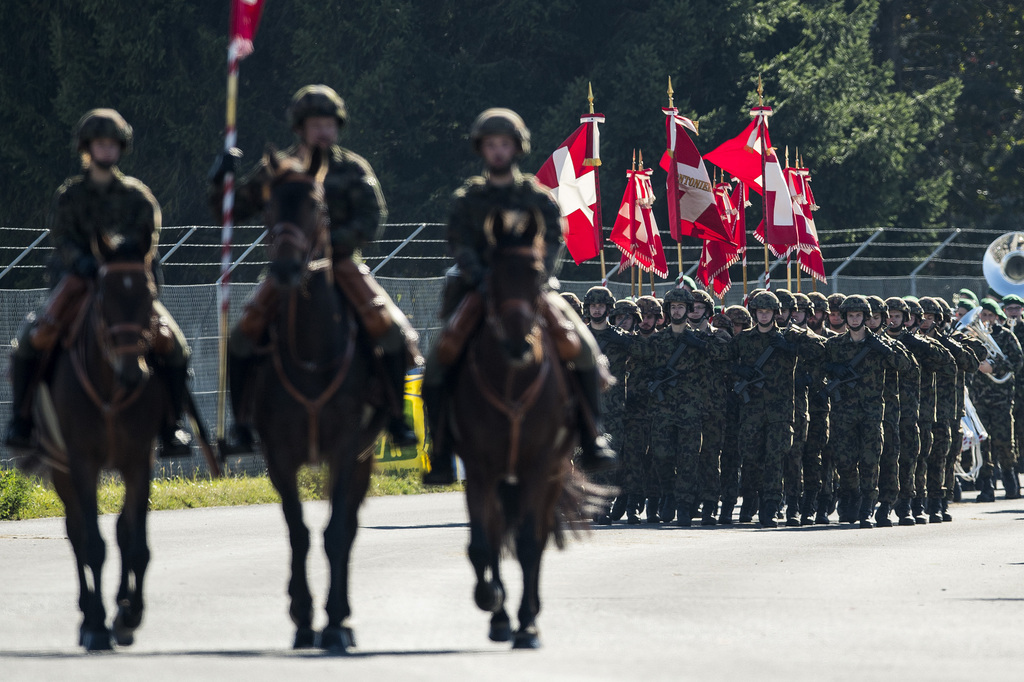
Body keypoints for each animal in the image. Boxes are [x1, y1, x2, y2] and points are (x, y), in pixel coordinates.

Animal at [30, 238, 188, 647]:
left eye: (150, 295)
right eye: (103, 297)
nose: (133, 373)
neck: (111, 389)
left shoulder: (139, 462)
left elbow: (135, 541)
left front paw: (129, 616)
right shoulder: (82, 463)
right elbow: (93, 544)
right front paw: (98, 625)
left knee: (118, 529)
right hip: (61, 470)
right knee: (76, 533)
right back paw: (88, 617)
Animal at [247, 151, 391, 651]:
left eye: (317, 205)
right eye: (268, 207)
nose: (287, 270)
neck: (311, 354)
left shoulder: (346, 450)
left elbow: (335, 532)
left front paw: (333, 621)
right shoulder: (278, 454)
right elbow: (297, 531)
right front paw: (303, 615)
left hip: (364, 458)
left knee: (347, 527)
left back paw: (342, 617)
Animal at [450, 209, 593, 647]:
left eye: (536, 273)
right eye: (492, 275)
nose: (518, 343)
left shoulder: (538, 467)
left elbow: (530, 543)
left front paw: (527, 623)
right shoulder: (479, 469)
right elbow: (483, 543)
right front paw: (491, 602)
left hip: (550, 475)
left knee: (539, 535)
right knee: (498, 534)